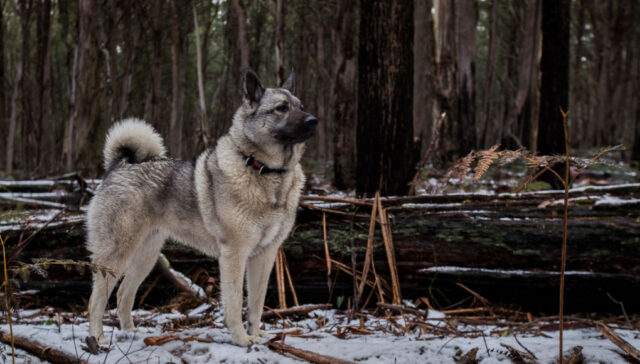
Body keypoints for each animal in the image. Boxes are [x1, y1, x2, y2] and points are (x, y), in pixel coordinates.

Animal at [87, 69, 318, 346]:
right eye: (281, 108)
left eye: (300, 106)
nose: (313, 120)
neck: (264, 171)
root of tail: (120, 166)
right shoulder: (234, 254)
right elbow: (234, 303)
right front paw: (242, 339)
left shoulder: (265, 255)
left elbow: (256, 303)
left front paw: (256, 334)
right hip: (116, 254)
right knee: (96, 300)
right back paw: (97, 338)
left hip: (147, 255)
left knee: (123, 293)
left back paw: (130, 332)